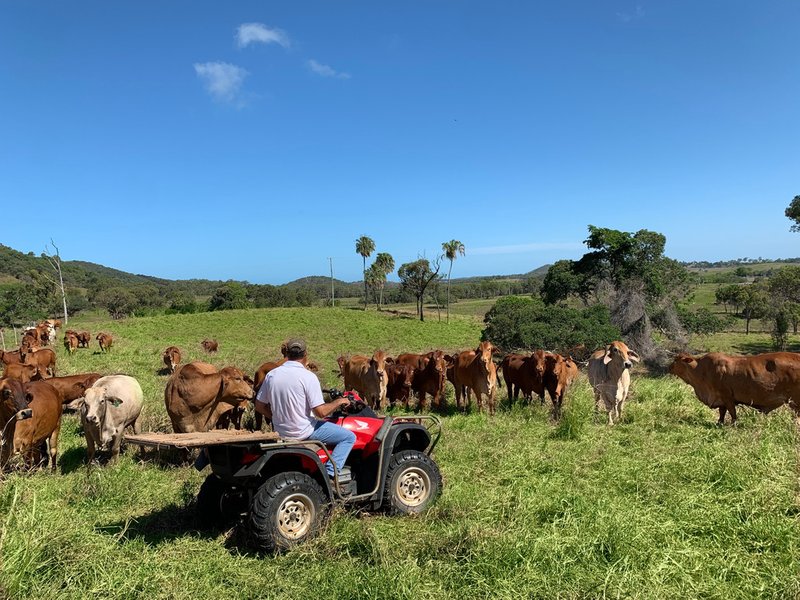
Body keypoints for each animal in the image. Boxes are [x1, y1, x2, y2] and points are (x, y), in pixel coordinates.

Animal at [672, 352, 800, 426]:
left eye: (676, 359)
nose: (669, 367)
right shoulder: (721, 399)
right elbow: (722, 412)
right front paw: (719, 423)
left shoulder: (727, 396)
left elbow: (732, 412)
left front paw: (733, 425)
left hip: (795, 401)